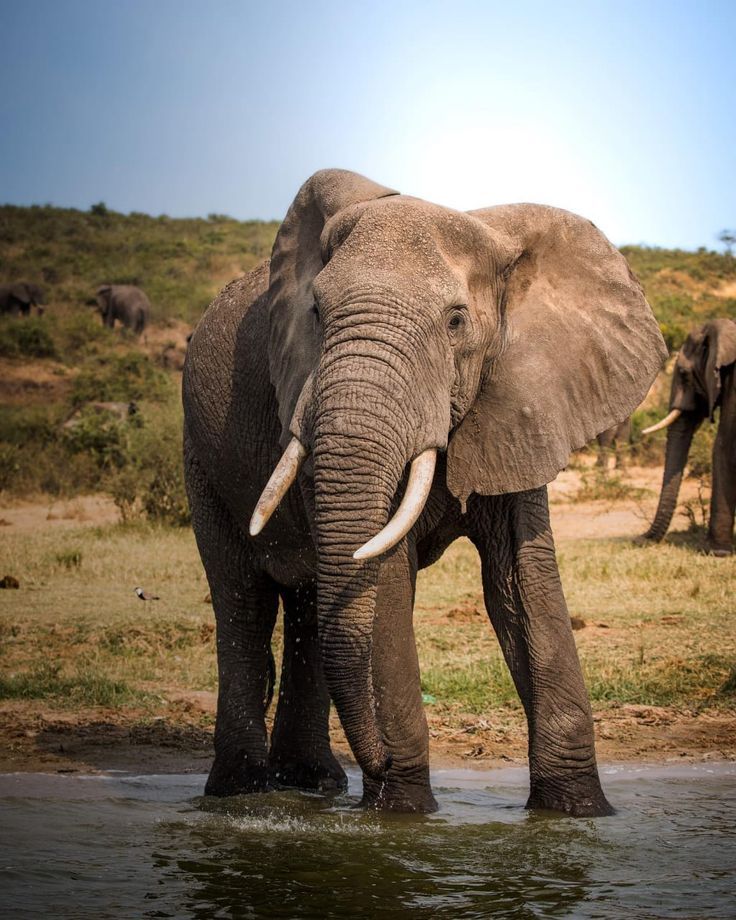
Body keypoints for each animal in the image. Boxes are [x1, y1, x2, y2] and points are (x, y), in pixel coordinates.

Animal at [183, 169, 666, 815]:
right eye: (316, 311)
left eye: (456, 321)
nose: (379, 762)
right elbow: (383, 575)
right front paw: (403, 814)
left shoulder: (519, 396)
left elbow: (525, 581)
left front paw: (579, 813)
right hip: (200, 453)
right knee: (243, 598)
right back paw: (241, 792)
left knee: (313, 602)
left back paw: (313, 783)